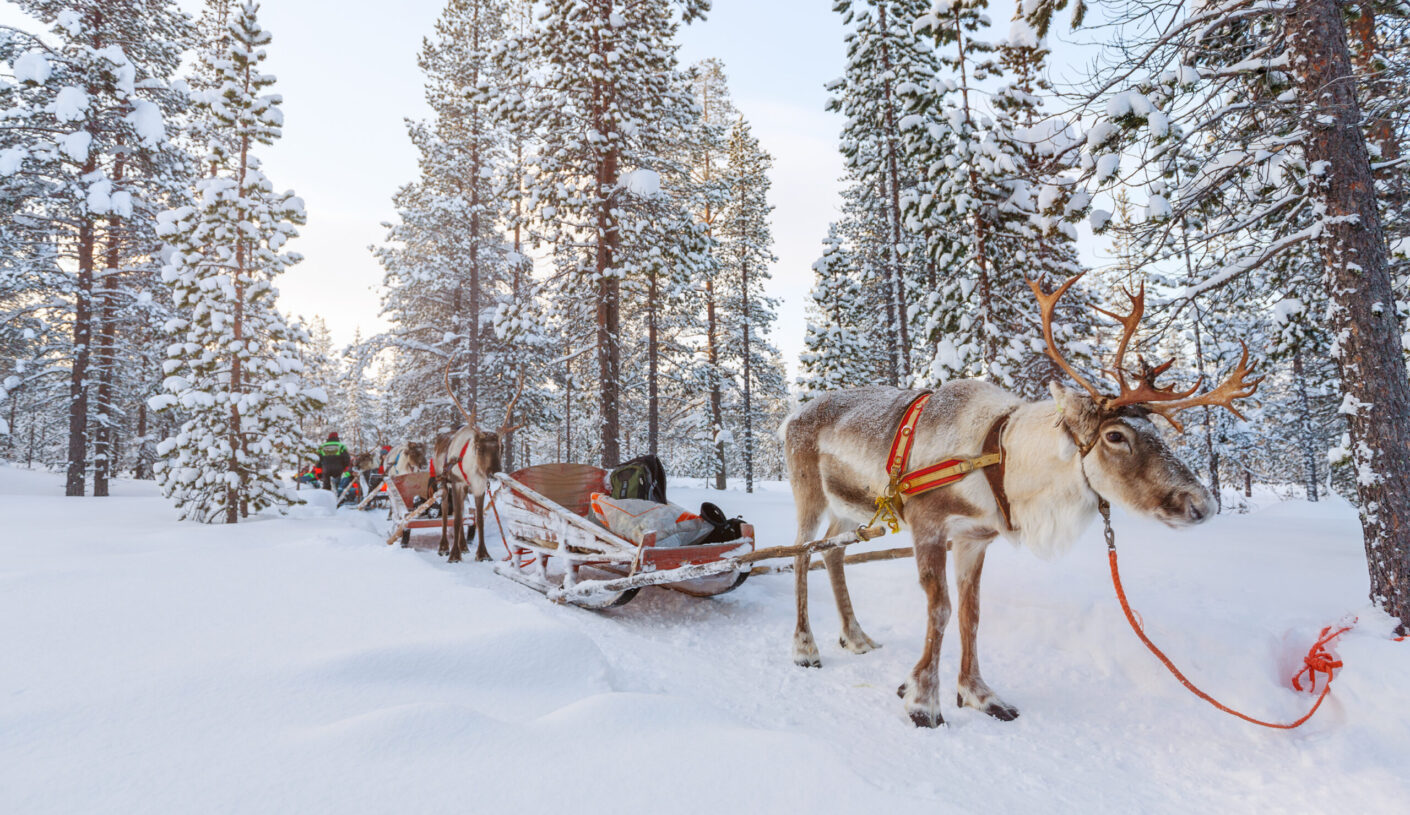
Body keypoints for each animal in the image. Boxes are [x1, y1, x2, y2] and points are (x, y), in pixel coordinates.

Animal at [432, 366, 524, 564]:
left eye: (500, 448)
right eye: (480, 448)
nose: (495, 472)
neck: (473, 470)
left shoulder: (479, 486)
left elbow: (479, 519)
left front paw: (482, 554)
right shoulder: (457, 483)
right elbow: (456, 519)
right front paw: (454, 555)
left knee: (462, 511)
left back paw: (464, 546)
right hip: (443, 482)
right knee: (446, 512)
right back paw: (444, 547)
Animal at [779, 273, 1262, 728]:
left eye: (1157, 432)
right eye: (1115, 435)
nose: (1202, 504)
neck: (1000, 456)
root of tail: (791, 416)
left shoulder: (974, 538)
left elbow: (971, 614)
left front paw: (979, 694)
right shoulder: (929, 525)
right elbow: (940, 610)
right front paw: (923, 701)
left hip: (848, 509)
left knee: (832, 553)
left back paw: (856, 637)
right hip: (809, 493)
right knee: (801, 553)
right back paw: (805, 648)